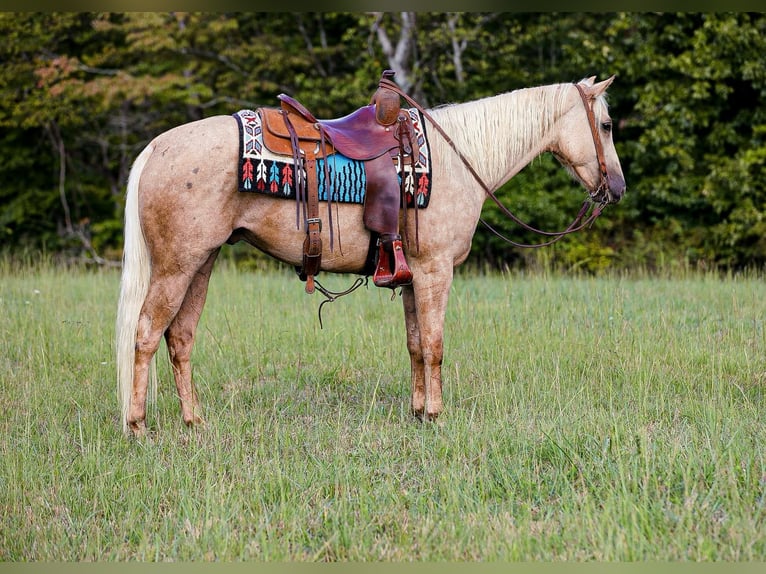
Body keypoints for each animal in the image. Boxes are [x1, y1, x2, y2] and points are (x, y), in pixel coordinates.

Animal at [117, 75, 628, 436]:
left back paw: (194, 422)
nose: (618, 188)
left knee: (180, 338)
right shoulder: (436, 271)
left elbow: (416, 345)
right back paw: (138, 426)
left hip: (201, 263)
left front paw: (419, 412)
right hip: (176, 266)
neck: (457, 160)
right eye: (605, 125)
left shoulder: (413, 274)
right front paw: (437, 415)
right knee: (146, 334)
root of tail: (156, 147)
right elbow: (435, 346)